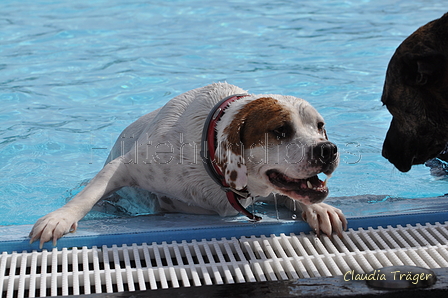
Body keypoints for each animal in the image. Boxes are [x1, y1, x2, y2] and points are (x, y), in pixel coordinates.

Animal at [29, 82, 348, 248]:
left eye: (320, 127)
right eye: (281, 130)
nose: (328, 149)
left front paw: (319, 209)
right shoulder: (124, 167)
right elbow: (88, 194)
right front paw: (59, 218)